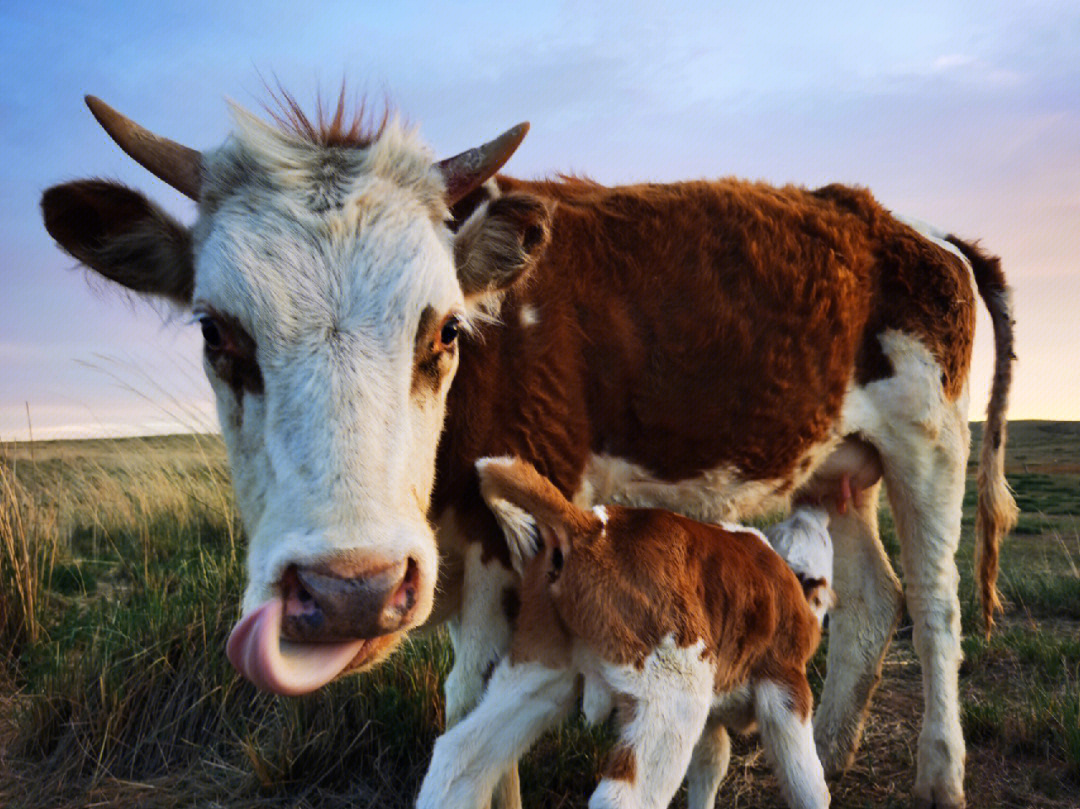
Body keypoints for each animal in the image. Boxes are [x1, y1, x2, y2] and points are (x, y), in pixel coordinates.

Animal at [416, 453, 829, 807]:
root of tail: (585, 526)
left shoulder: (715, 716)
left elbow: (711, 764)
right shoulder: (786, 681)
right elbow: (807, 782)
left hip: (537, 671)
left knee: (457, 760)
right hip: (673, 688)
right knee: (621, 798)